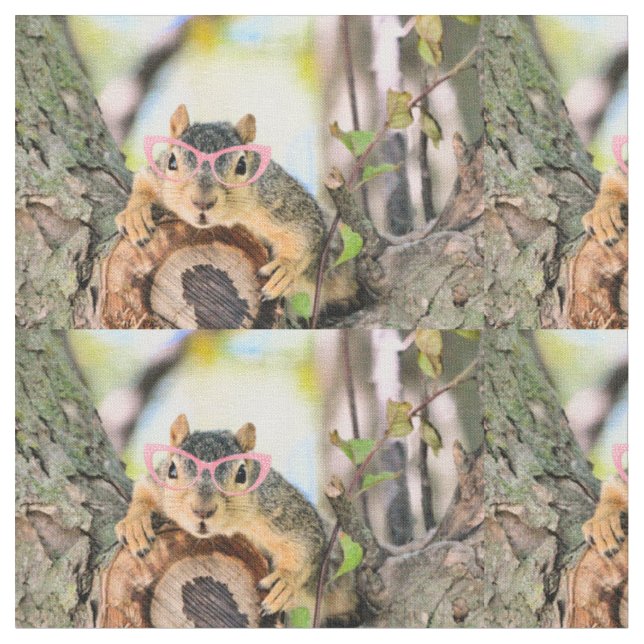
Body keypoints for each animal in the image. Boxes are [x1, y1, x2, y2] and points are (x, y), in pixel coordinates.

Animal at [115, 105, 356, 306]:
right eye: (171, 162)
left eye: (241, 166)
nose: (203, 202)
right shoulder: (158, 177)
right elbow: (144, 181)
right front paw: (135, 214)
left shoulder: (281, 201)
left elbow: (305, 230)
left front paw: (285, 269)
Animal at [116, 414, 354, 622]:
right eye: (172, 470)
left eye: (241, 474)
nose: (203, 511)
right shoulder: (157, 485)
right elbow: (144, 490)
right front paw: (135, 523)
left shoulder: (283, 511)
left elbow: (305, 542)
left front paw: (285, 581)